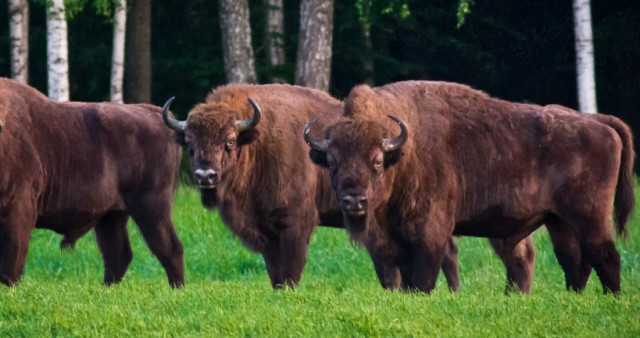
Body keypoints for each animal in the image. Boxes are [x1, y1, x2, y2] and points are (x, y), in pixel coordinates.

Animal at [0, 78, 185, 286]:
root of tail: (157, 115)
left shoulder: (18, 210)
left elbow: (11, 264)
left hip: (152, 208)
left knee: (169, 249)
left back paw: (177, 289)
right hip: (113, 215)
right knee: (118, 254)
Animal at [162, 84, 532, 290]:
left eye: (228, 141)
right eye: (190, 144)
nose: (205, 176)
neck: (257, 139)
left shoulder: (295, 224)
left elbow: (290, 271)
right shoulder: (266, 231)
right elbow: (274, 272)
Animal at [306, 80, 636, 294]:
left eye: (376, 161)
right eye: (332, 162)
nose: (354, 201)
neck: (402, 154)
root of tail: (598, 122)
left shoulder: (430, 235)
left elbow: (421, 281)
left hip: (589, 216)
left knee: (606, 255)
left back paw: (612, 299)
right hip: (559, 221)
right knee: (574, 262)